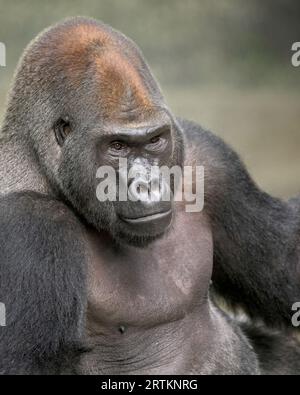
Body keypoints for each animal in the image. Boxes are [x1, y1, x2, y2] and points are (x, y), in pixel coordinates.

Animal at [0, 17, 300, 376]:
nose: (148, 185)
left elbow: (285, 264)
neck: (37, 160)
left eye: (155, 140)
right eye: (116, 146)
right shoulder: (30, 222)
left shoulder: (212, 161)